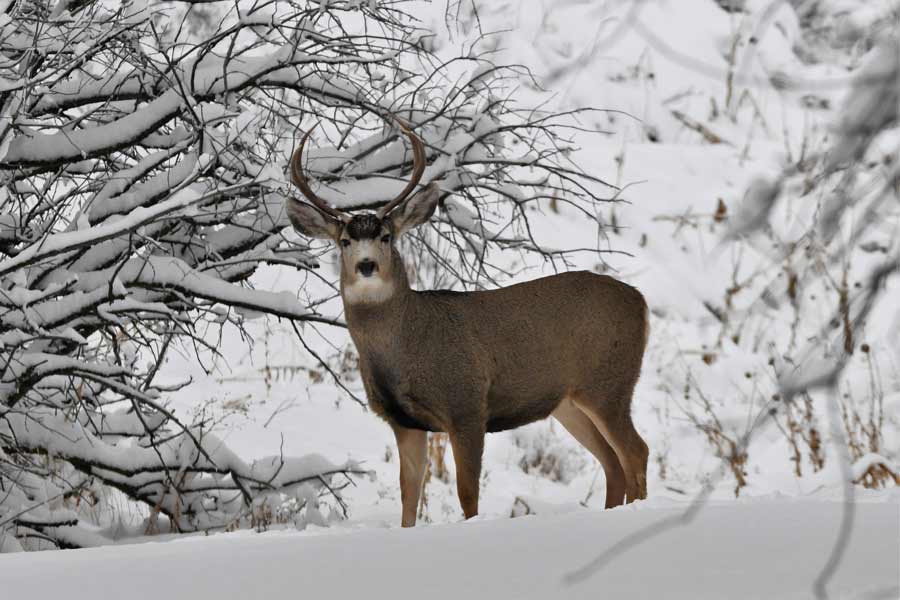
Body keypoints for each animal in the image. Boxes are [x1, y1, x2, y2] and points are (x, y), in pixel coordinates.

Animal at [284, 116, 650, 527]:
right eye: (345, 241)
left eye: (386, 236)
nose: (367, 265)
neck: (407, 344)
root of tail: (640, 301)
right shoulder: (405, 422)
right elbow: (409, 495)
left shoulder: (467, 405)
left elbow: (467, 493)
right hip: (569, 402)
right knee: (613, 463)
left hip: (608, 383)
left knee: (636, 452)